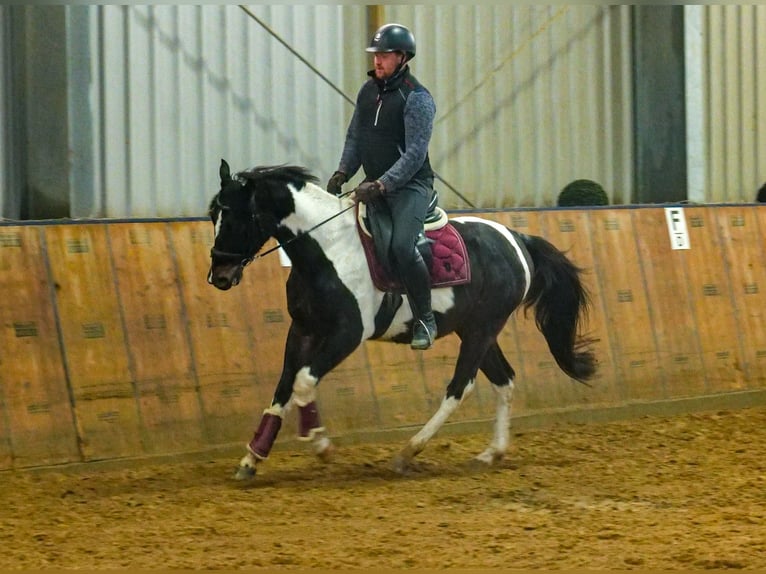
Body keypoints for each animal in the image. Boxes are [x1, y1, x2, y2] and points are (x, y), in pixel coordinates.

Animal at [210, 160, 600, 480]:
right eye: (214, 214)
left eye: (235, 217)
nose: (219, 277)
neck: (329, 249)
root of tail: (516, 238)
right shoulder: (302, 330)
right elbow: (284, 388)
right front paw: (252, 458)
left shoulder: (347, 334)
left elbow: (304, 382)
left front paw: (320, 444)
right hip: (475, 329)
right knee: (503, 381)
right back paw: (491, 453)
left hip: (481, 329)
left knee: (460, 387)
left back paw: (408, 452)